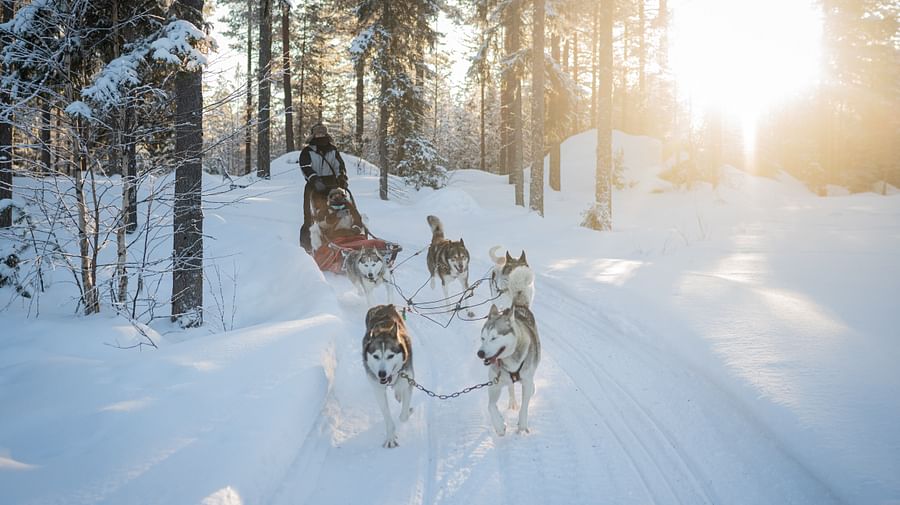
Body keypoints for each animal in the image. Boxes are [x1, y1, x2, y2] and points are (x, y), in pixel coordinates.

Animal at [362, 302, 414, 446]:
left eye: (390, 356)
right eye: (376, 356)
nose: (381, 374)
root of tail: (383, 305)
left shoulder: (408, 380)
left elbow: (403, 416)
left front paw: (408, 411)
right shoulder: (378, 390)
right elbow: (387, 416)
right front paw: (390, 437)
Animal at [478, 302, 540, 436]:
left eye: (494, 338)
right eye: (483, 338)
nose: (480, 353)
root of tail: (518, 305)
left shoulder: (526, 382)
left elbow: (524, 406)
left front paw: (522, 425)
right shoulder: (495, 383)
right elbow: (490, 406)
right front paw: (500, 426)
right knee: (510, 387)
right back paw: (512, 402)